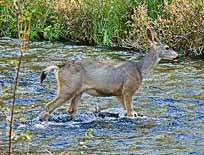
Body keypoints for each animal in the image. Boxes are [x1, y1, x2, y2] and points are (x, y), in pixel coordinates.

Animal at [39, 28, 178, 121]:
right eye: (167, 47)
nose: (177, 55)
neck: (140, 69)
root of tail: (58, 68)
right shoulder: (128, 89)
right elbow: (130, 112)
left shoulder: (119, 93)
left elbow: (128, 111)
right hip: (68, 87)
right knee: (49, 106)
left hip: (78, 91)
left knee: (71, 110)